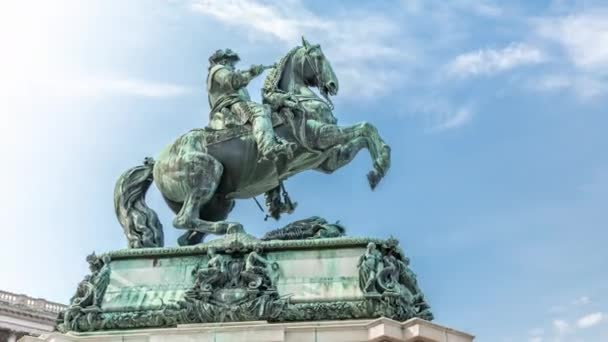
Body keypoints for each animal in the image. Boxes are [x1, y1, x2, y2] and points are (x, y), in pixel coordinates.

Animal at [113, 38, 390, 248]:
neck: (297, 101)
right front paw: (381, 164)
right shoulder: (319, 136)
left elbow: (364, 134)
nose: (333, 85)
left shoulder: (327, 159)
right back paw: (233, 228)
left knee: (188, 235)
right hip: (207, 172)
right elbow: (366, 127)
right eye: (319, 57)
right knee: (183, 220)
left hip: (220, 202)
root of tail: (156, 163)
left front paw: (377, 168)